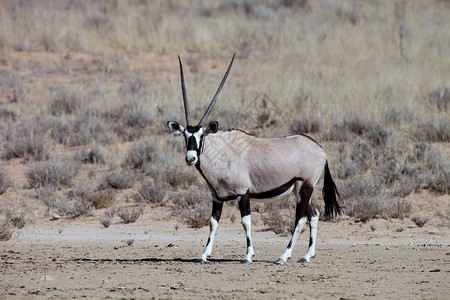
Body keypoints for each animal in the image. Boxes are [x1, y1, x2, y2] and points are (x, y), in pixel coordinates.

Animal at [168, 52, 342, 264]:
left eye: (202, 135)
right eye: (185, 136)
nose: (190, 158)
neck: (223, 152)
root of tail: (320, 149)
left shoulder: (243, 194)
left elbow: (246, 222)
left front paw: (247, 256)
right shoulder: (217, 198)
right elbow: (212, 223)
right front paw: (203, 255)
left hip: (305, 186)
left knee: (300, 218)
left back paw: (283, 256)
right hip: (298, 189)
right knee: (314, 214)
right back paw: (307, 255)